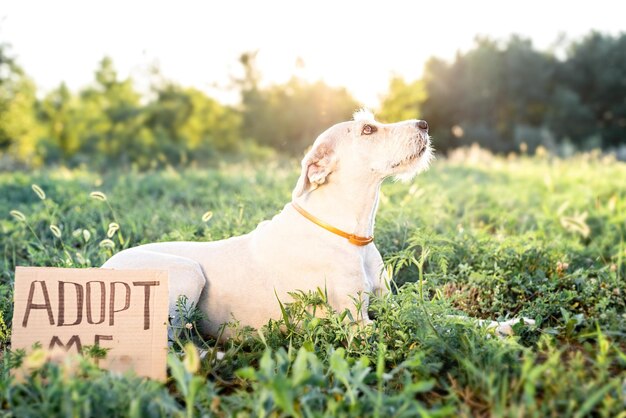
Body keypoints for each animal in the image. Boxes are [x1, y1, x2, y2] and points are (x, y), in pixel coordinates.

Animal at [103, 111, 434, 340]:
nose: (424, 124)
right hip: (188, 273)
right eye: (368, 129)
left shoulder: (387, 300)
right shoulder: (357, 324)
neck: (349, 234)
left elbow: (425, 311)